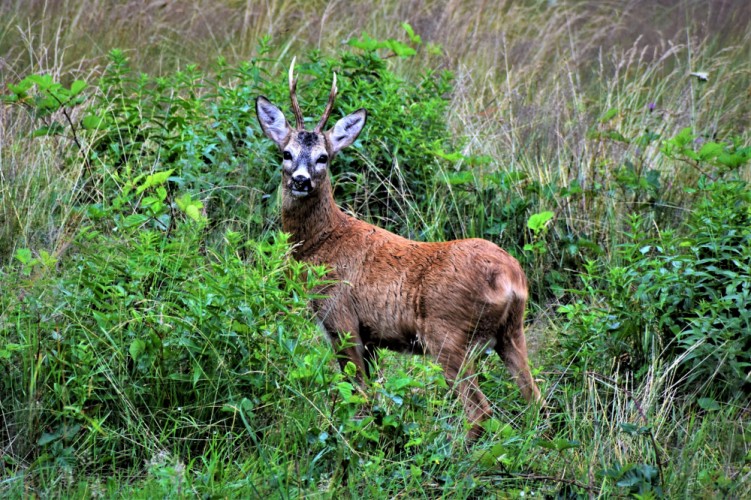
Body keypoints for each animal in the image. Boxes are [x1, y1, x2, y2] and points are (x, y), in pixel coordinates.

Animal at [256, 60, 544, 440]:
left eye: (324, 158)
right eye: (286, 153)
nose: (301, 180)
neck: (322, 242)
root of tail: (510, 278)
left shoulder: (342, 319)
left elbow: (358, 397)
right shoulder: (371, 336)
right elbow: (375, 396)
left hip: (447, 334)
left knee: (479, 409)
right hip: (511, 332)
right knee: (534, 398)